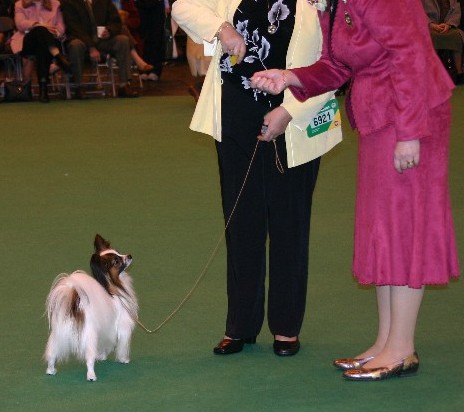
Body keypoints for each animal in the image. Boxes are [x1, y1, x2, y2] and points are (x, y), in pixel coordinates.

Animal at [43, 233, 138, 382]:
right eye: (117, 261)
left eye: (118, 252)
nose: (129, 255)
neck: (111, 284)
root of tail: (74, 309)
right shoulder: (122, 324)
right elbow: (122, 344)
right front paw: (123, 359)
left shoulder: (105, 329)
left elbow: (105, 343)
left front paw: (102, 356)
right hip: (89, 337)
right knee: (89, 359)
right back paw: (91, 376)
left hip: (58, 335)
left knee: (52, 354)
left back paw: (51, 370)